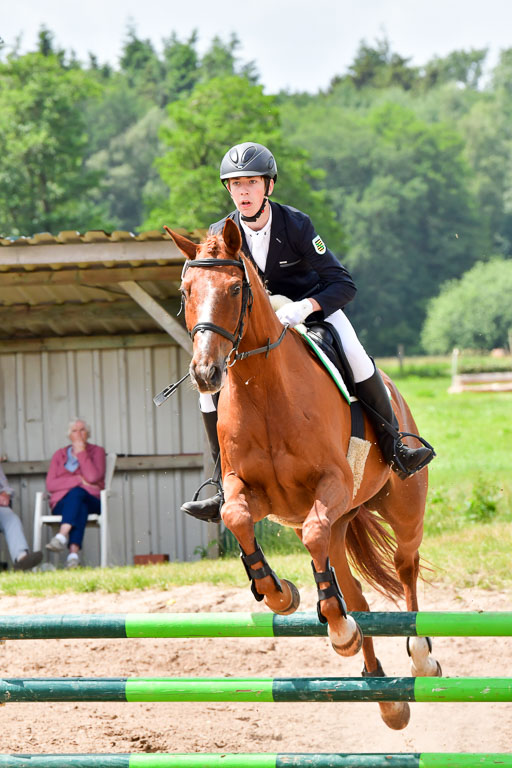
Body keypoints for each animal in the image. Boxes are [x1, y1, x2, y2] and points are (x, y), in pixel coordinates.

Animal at [165, 217, 441, 731]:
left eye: (235, 288)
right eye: (186, 291)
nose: (206, 374)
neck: (264, 389)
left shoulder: (331, 485)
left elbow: (314, 534)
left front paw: (335, 629)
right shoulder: (250, 491)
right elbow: (235, 518)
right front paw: (280, 594)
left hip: (402, 506)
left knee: (405, 567)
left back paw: (419, 657)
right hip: (342, 522)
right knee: (357, 595)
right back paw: (385, 696)